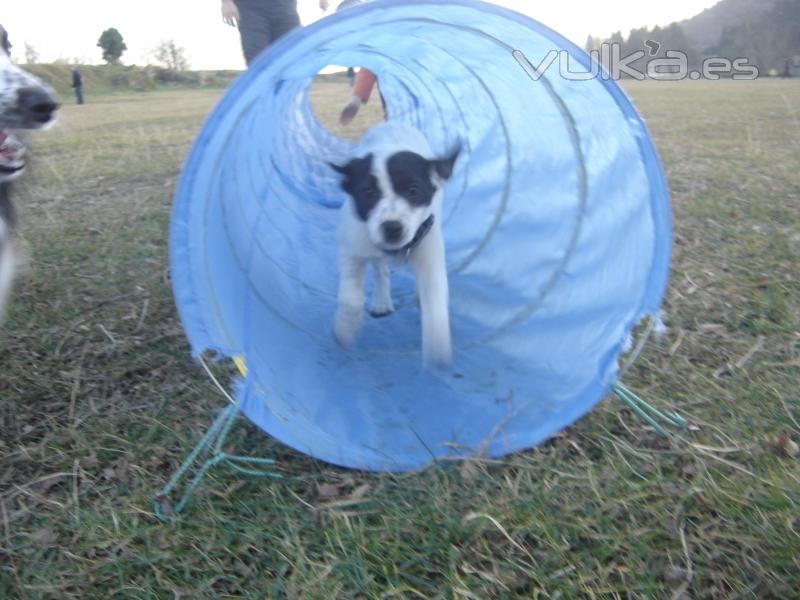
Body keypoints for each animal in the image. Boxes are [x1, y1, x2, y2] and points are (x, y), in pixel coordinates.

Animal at [330, 120, 456, 366]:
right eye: (368, 191)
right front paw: (345, 330)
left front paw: (437, 352)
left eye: (413, 190)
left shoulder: (429, 252)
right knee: (381, 270)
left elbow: (434, 304)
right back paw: (381, 302)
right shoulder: (352, 248)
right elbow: (350, 297)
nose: (392, 228)